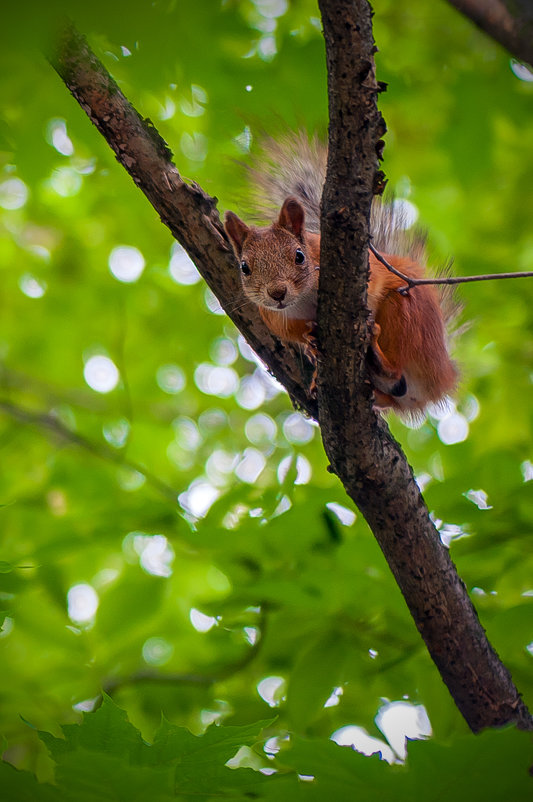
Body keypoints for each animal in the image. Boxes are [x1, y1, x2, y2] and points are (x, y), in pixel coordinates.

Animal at [222, 132, 456, 416]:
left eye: (299, 256)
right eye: (244, 267)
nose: (277, 293)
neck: (303, 300)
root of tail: (442, 375)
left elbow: (373, 284)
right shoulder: (274, 317)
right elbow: (292, 332)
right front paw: (309, 341)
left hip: (407, 313)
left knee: (398, 370)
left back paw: (381, 364)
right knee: (394, 394)